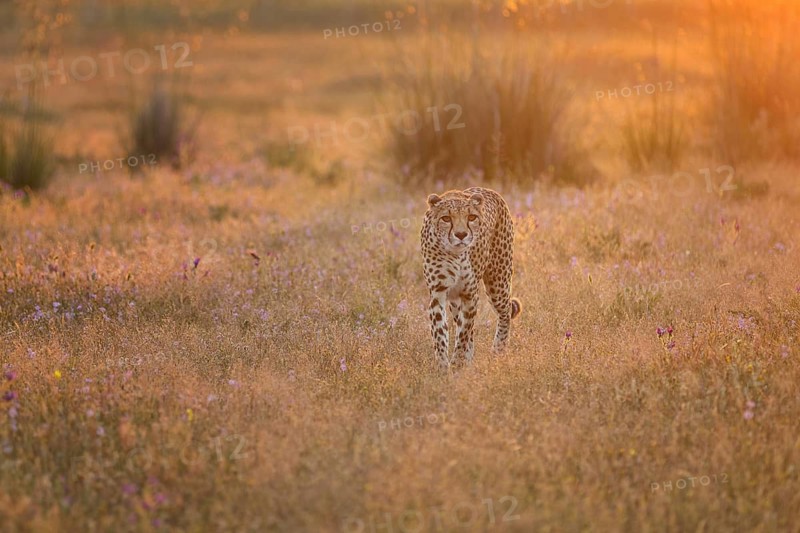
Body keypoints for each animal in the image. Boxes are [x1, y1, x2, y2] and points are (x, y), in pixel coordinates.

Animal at [420, 187, 521, 370]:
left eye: (471, 217)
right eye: (446, 218)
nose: (461, 234)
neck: (455, 253)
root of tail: (489, 190)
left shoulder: (470, 294)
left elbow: (464, 332)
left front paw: (457, 362)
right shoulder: (438, 293)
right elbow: (441, 333)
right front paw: (443, 366)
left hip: (498, 282)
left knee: (505, 313)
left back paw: (498, 350)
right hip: (456, 300)